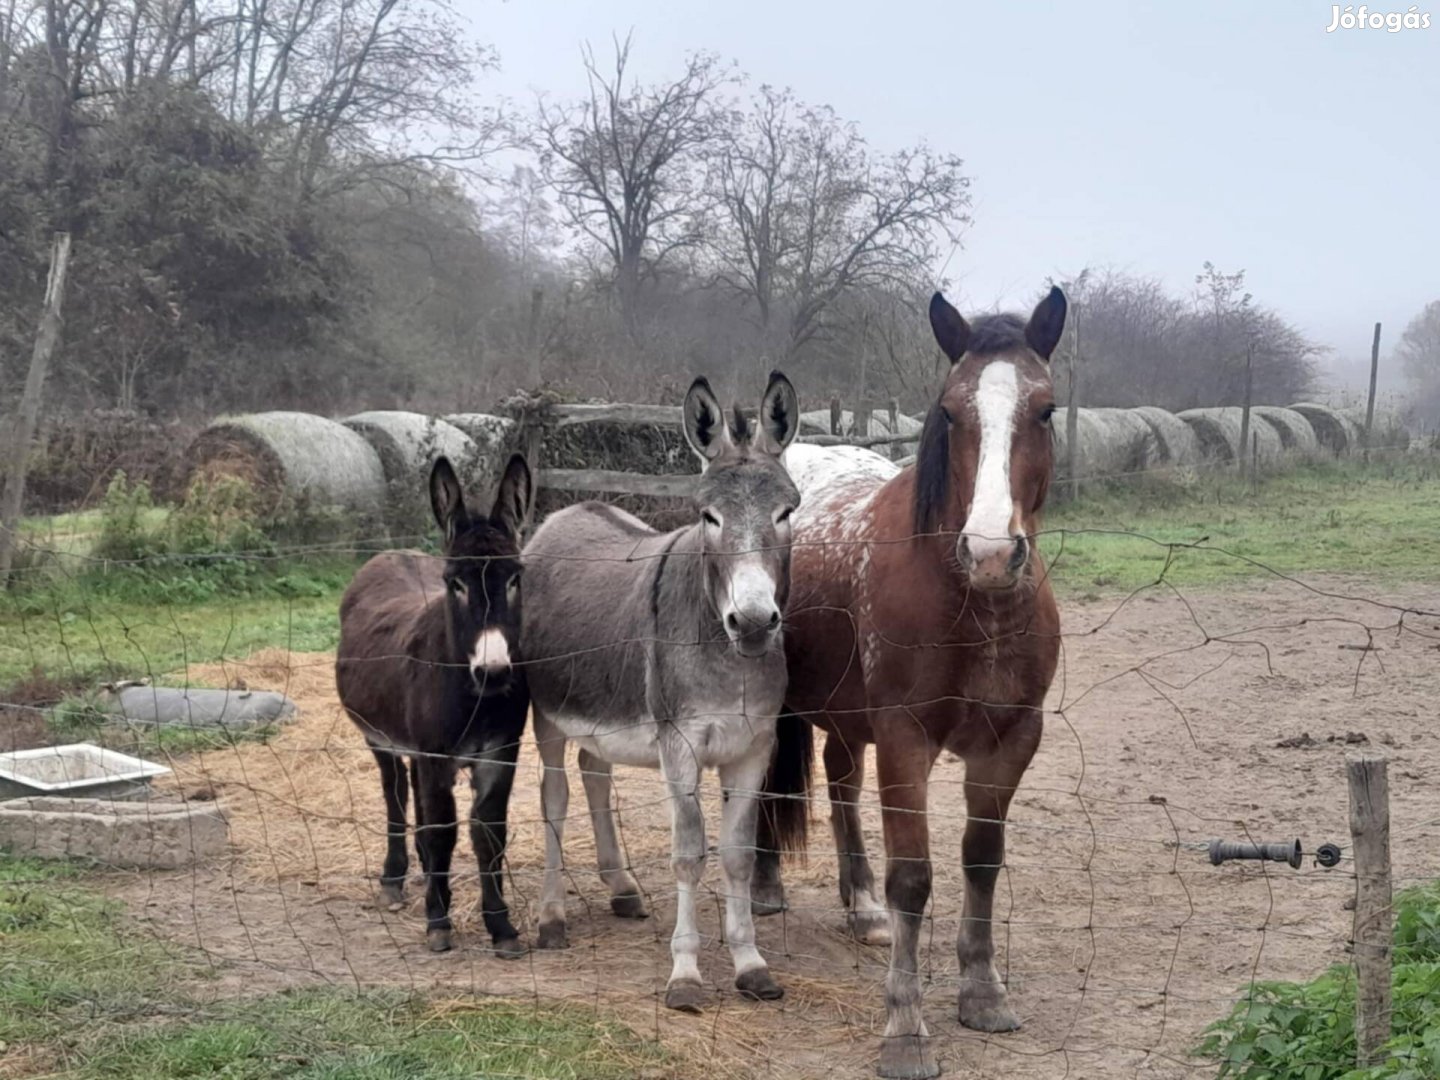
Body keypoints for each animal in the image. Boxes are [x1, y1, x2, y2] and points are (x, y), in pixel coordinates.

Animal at [760, 289, 1065, 1080]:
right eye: (951, 412)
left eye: (1045, 409)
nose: (990, 551)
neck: (973, 602)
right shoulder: (905, 737)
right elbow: (915, 878)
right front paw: (905, 1029)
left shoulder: (1012, 739)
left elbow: (980, 860)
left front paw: (983, 991)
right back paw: (765, 888)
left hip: (846, 714)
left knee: (839, 785)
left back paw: (860, 905)